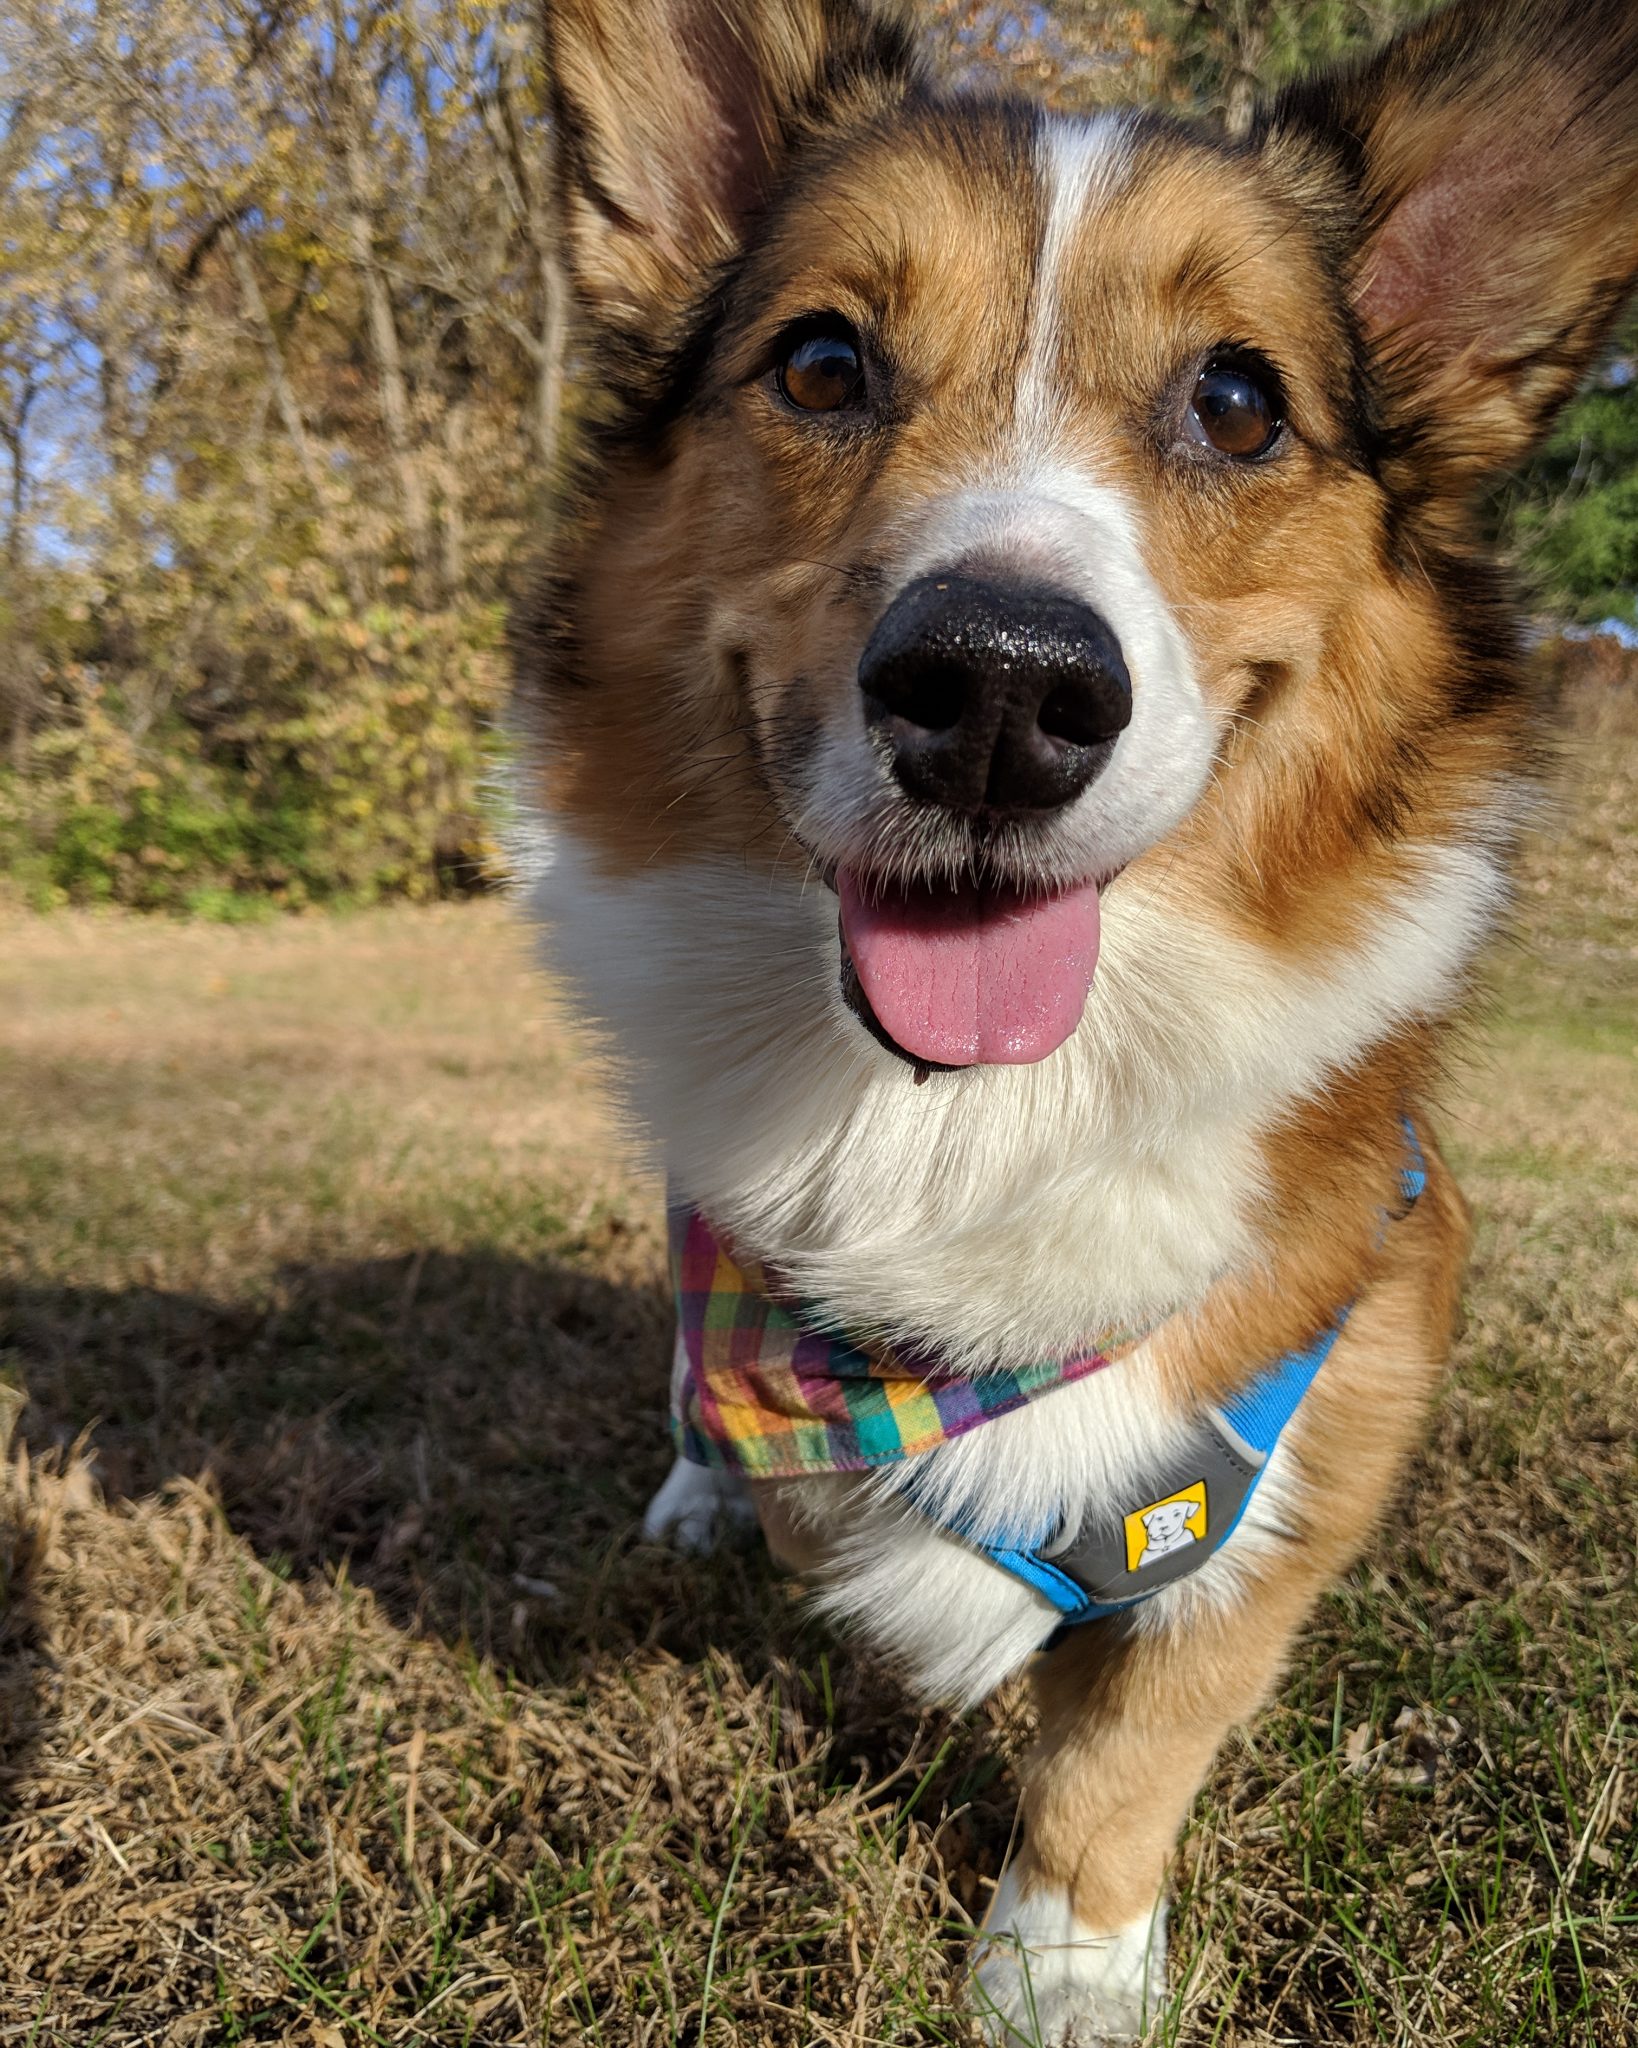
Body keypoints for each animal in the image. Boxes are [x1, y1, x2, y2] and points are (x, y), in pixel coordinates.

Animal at [528, 8, 1637, 2039]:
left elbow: (1131, 1736)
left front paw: (1060, 1957)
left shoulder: (1303, 1452)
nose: (996, 691)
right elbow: (854, 1512)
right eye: (820, 360)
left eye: (1237, 403)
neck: (977, 1117)